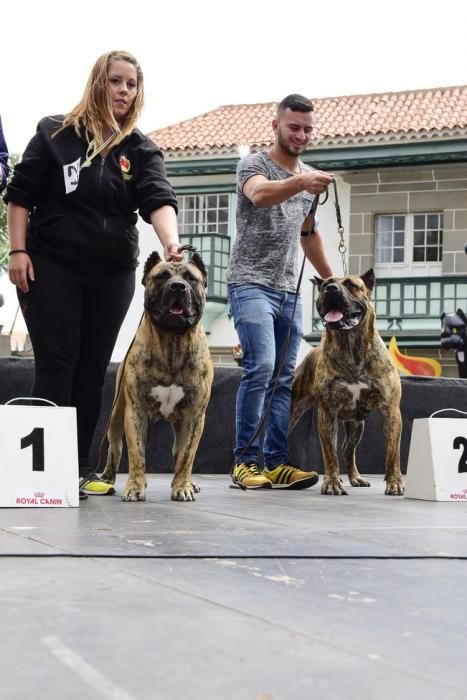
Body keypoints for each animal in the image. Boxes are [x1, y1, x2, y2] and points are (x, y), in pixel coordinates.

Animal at [101, 252, 215, 504]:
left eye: (191, 278)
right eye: (161, 276)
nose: (178, 286)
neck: (172, 341)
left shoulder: (194, 416)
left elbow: (186, 456)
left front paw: (182, 487)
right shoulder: (135, 411)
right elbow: (137, 453)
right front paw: (135, 487)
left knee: (179, 451)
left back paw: (189, 482)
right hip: (116, 416)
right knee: (115, 448)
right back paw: (106, 479)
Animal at [292, 270, 406, 498]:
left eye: (351, 285)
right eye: (325, 285)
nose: (331, 289)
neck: (350, 344)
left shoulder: (391, 410)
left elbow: (393, 453)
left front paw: (394, 482)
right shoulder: (327, 413)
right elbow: (330, 454)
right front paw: (332, 483)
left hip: (356, 424)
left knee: (348, 449)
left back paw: (356, 478)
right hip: (295, 408)